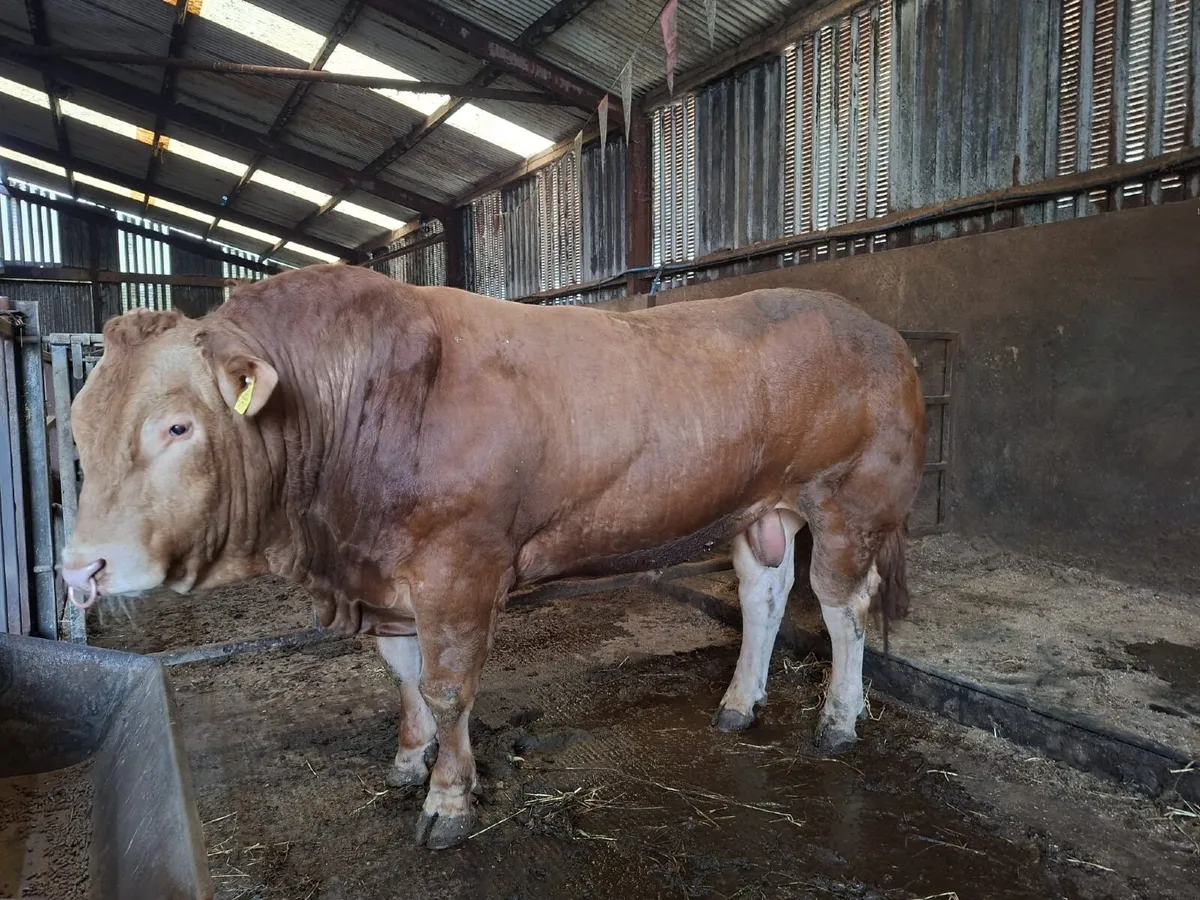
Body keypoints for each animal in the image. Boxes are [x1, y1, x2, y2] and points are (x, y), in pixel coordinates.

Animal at [60, 265, 925, 850]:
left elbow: (447, 691)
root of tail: (879, 331)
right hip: (761, 509)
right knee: (764, 595)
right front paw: (409, 761)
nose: (78, 570)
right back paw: (740, 704)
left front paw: (447, 800)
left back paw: (840, 718)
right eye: (76, 425)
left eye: (177, 426)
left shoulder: (458, 568)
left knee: (843, 608)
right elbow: (403, 675)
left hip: (850, 501)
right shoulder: (386, 578)